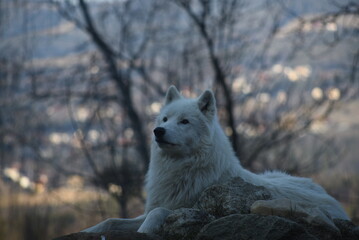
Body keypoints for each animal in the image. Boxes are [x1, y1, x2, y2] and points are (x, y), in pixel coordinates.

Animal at [83, 86, 348, 234]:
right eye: (165, 118)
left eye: (184, 121)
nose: (158, 131)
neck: (181, 170)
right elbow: (109, 221)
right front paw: (89, 229)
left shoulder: (189, 208)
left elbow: (156, 213)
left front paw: (144, 231)